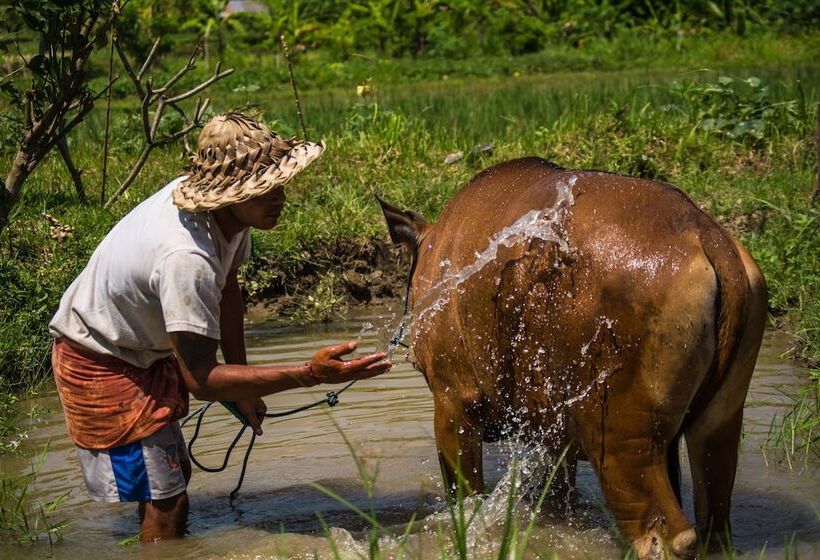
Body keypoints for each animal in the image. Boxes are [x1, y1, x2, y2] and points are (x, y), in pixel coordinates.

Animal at [382, 158, 764, 560]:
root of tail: (707, 236)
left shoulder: (453, 400)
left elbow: (465, 503)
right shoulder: (553, 432)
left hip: (619, 441)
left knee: (667, 536)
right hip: (716, 426)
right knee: (714, 527)